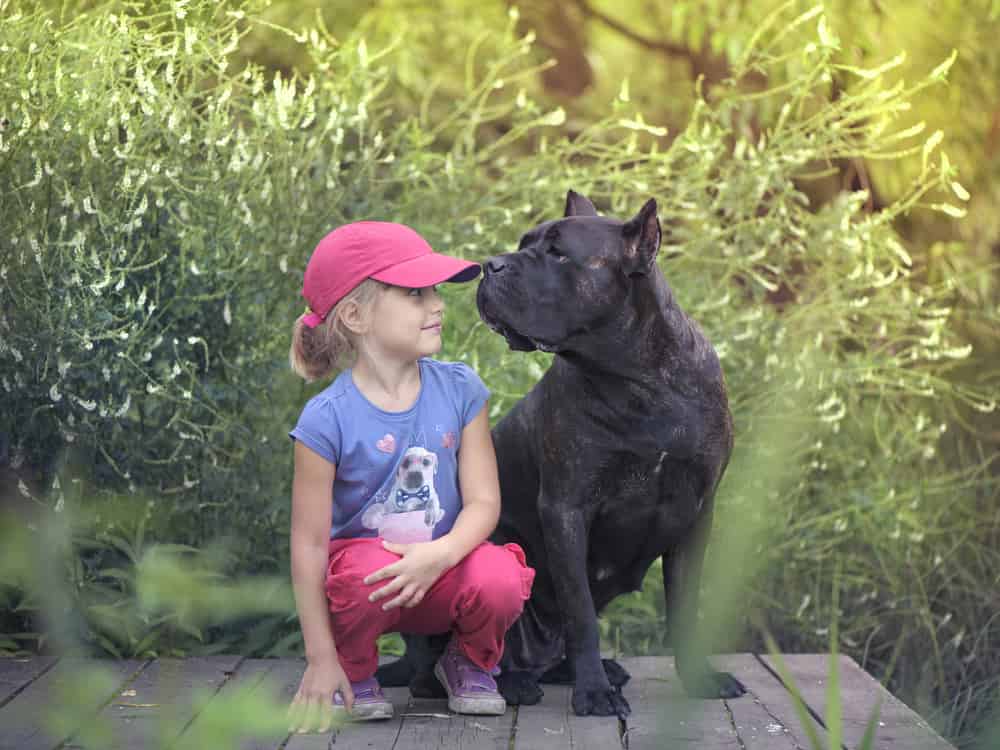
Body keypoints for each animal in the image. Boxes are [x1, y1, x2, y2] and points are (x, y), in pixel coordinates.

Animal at [376, 192, 744, 716]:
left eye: (557, 252)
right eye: (522, 244)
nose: (491, 265)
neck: (639, 380)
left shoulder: (696, 513)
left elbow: (684, 606)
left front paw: (697, 679)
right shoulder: (566, 509)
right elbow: (581, 612)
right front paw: (593, 693)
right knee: (440, 669)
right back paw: (515, 684)